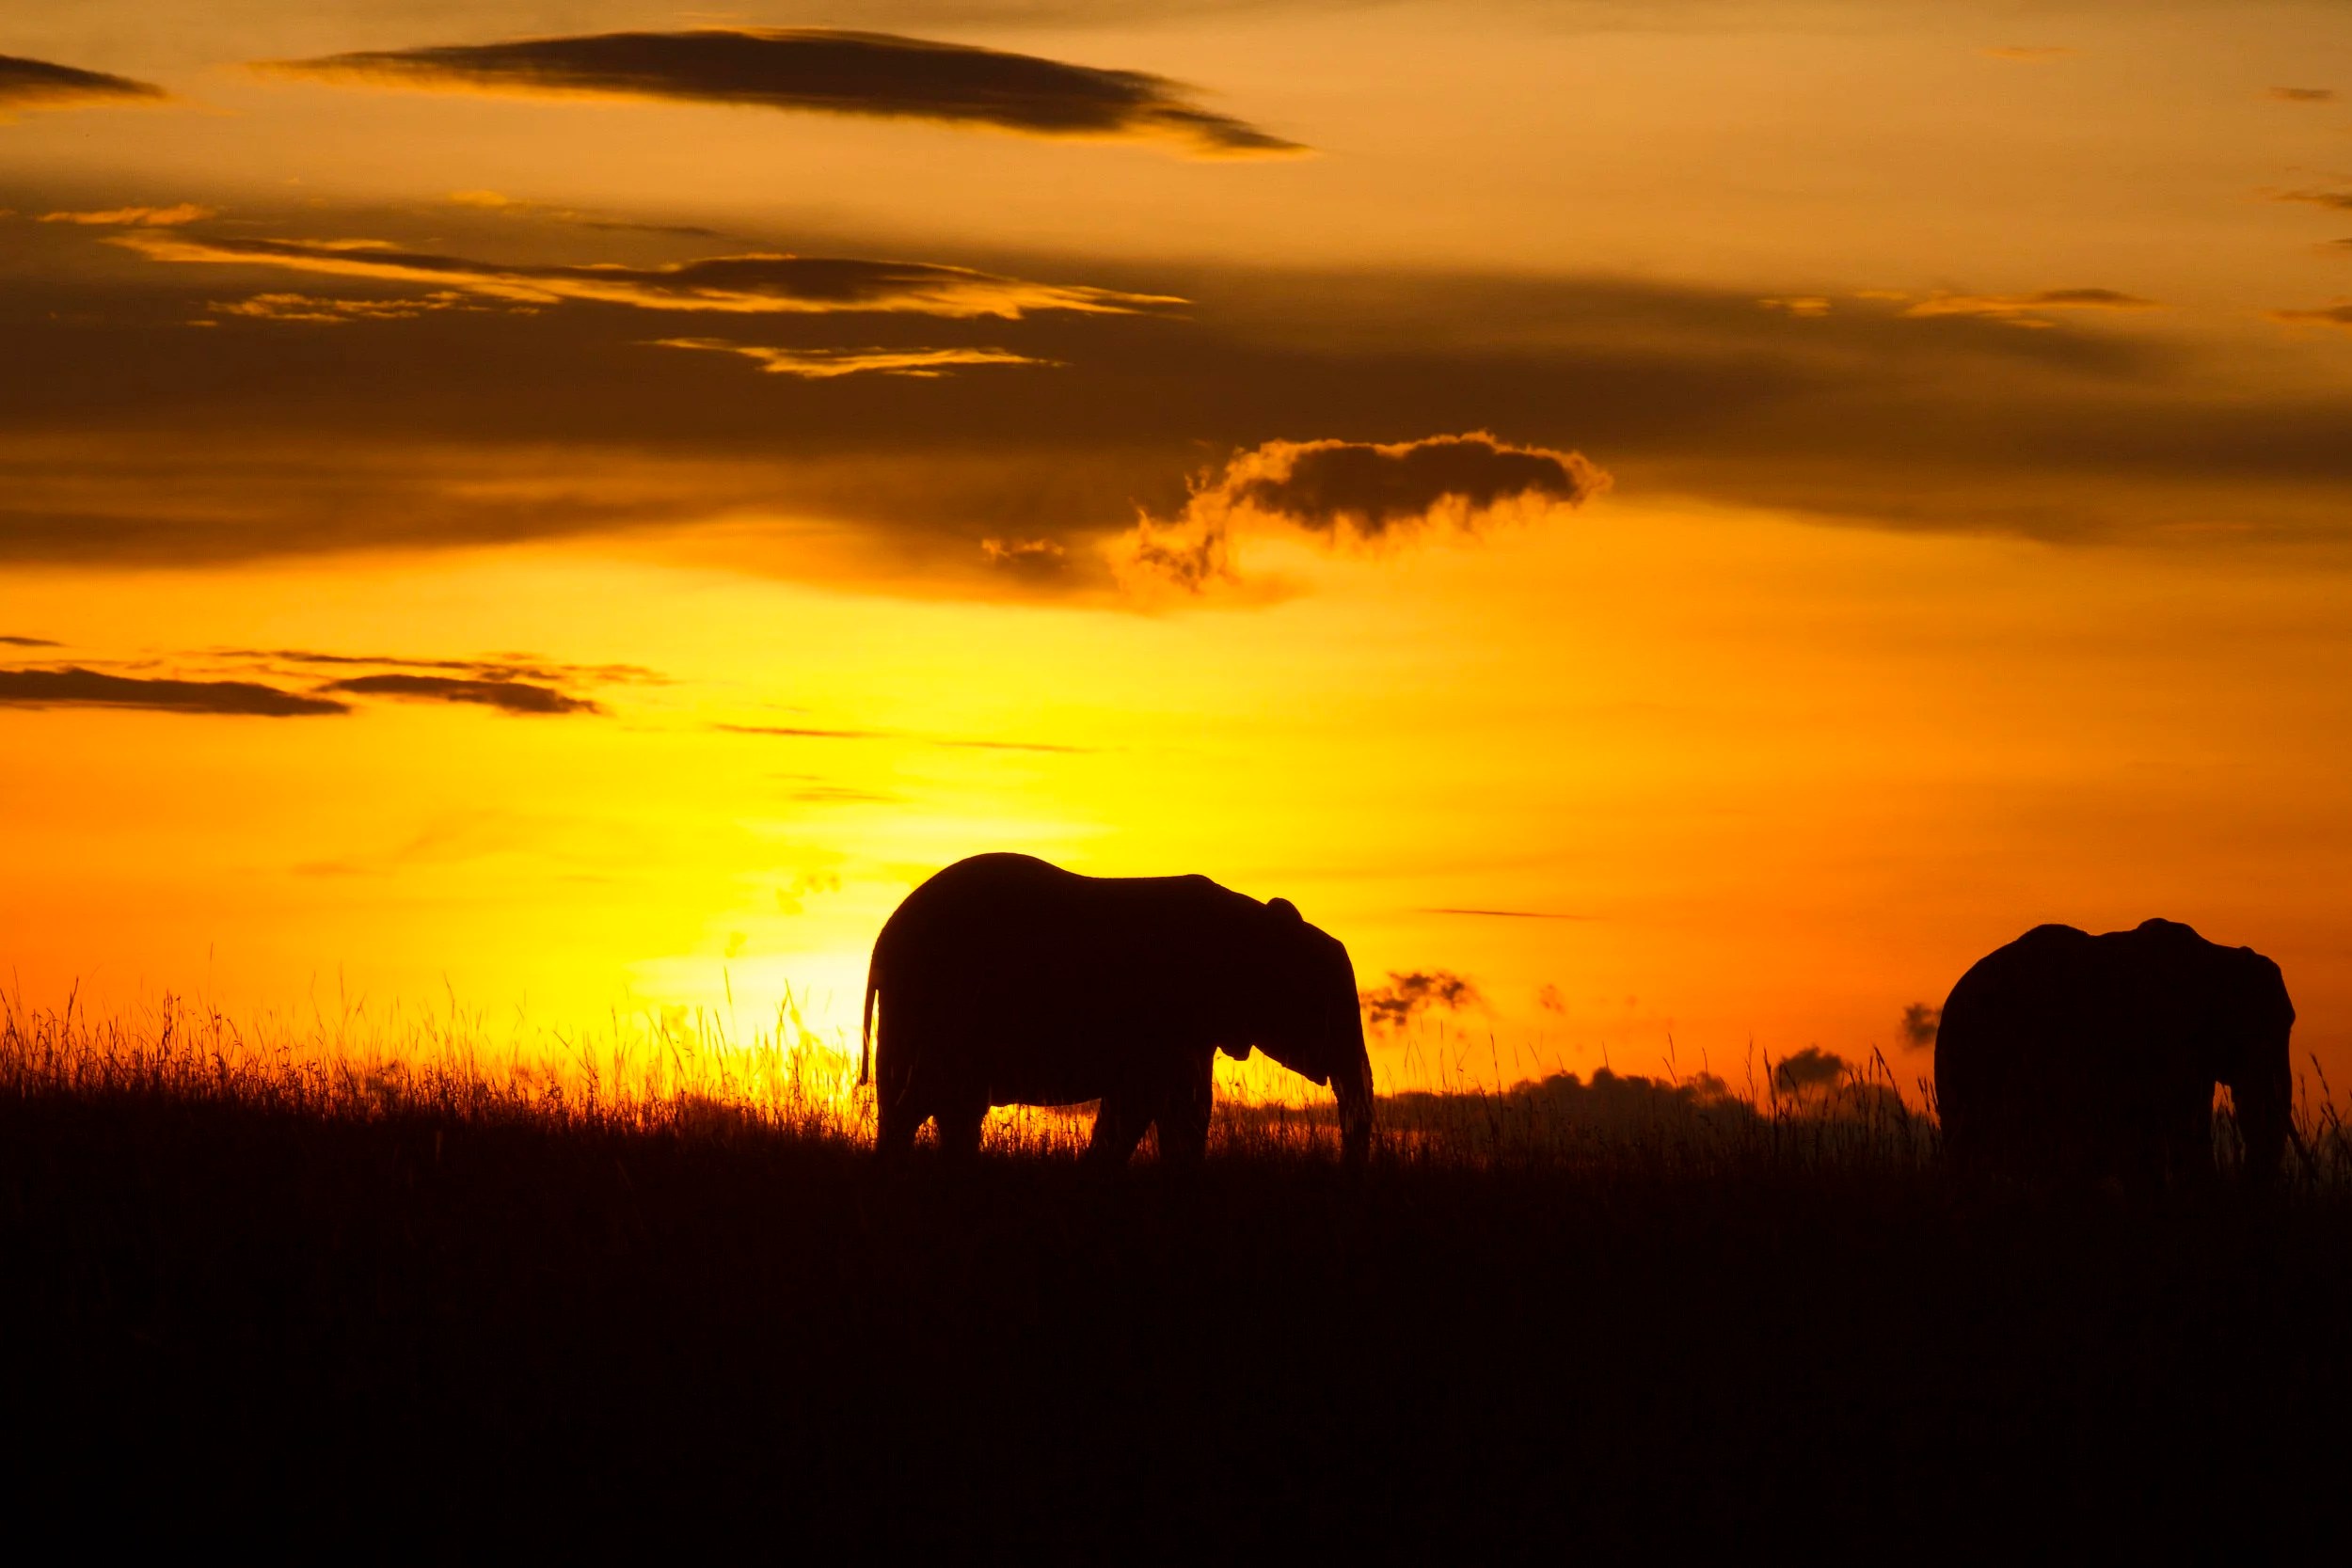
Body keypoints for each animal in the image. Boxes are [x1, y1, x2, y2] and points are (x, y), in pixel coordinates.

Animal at [861, 853, 1375, 1166]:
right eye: (1327, 1006)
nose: (1345, 1169)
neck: (1250, 921)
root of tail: (881, 941)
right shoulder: (1170, 1015)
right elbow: (1154, 1102)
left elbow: (1173, 1104)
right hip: (931, 1005)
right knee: (920, 1104)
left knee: (946, 1108)